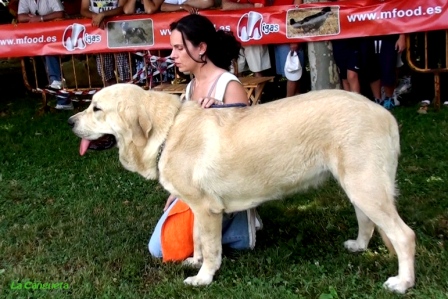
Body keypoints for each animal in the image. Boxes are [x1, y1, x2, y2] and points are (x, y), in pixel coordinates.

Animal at [67, 84, 416, 292]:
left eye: (96, 108)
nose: (70, 121)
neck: (167, 133)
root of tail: (384, 113)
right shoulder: (199, 207)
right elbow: (199, 239)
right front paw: (195, 261)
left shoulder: (207, 209)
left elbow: (212, 248)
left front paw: (203, 277)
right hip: (357, 186)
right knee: (367, 221)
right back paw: (358, 246)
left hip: (365, 186)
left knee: (404, 235)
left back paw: (402, 282)